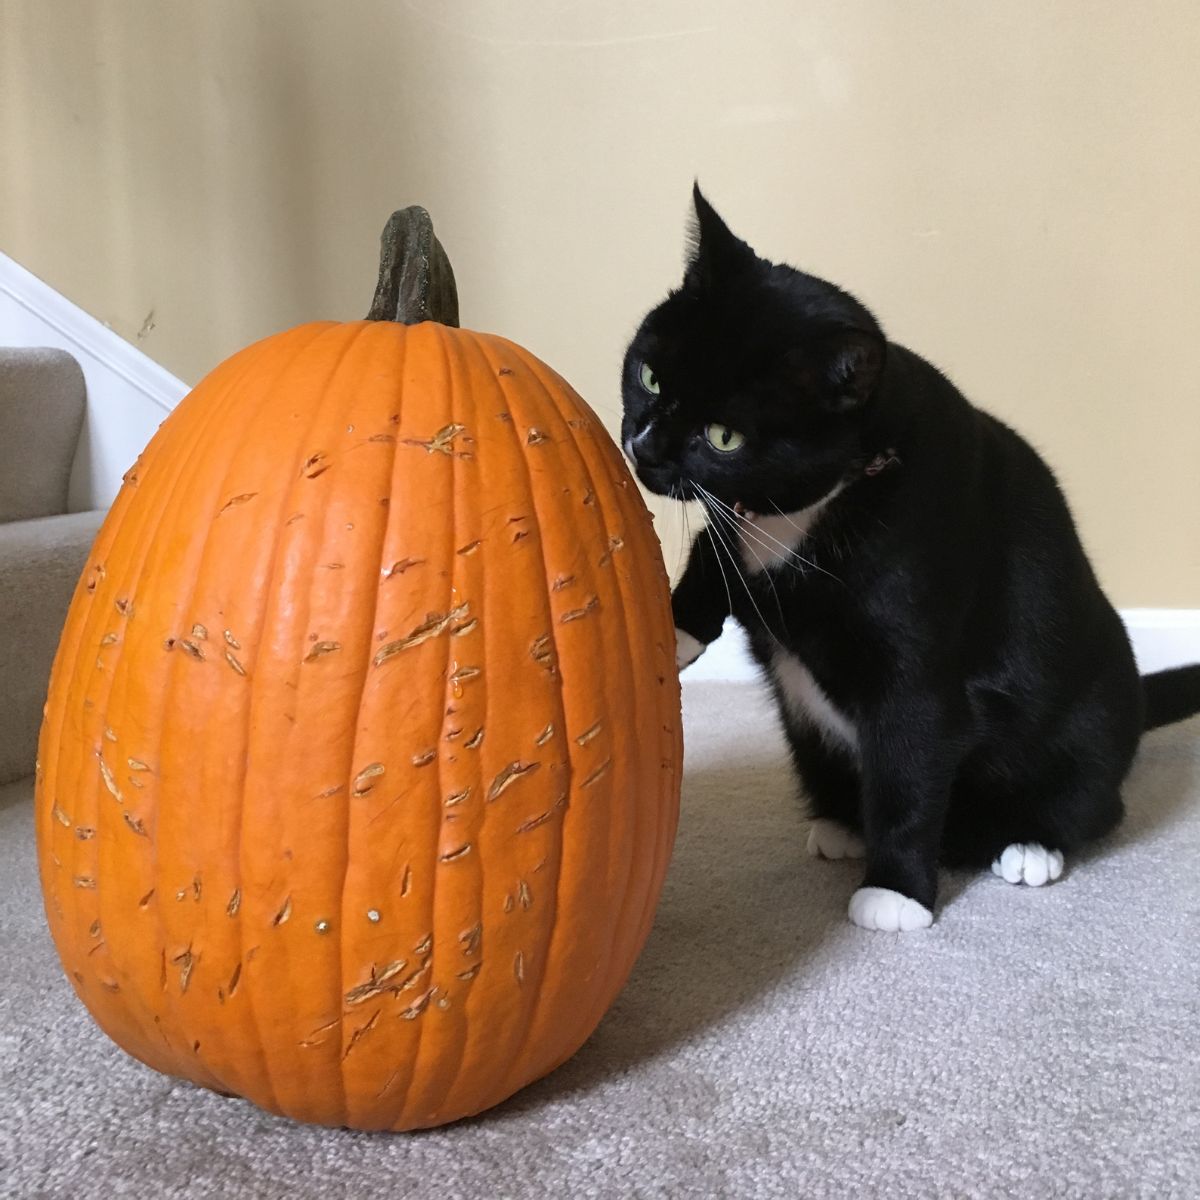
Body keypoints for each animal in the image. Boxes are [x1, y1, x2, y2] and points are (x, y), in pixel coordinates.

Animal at [624, 187, 1195, 931]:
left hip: (1089, 725)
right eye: (649, 374)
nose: (645, 448)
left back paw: (1029, 845)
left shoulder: (920, 669)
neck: (804, 514)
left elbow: (908, 774)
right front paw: (674, 625)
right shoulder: (739, 529)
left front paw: (895, 893)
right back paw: (841, 823)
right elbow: (712, 554)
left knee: (1091, 803)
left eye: (723, 436)